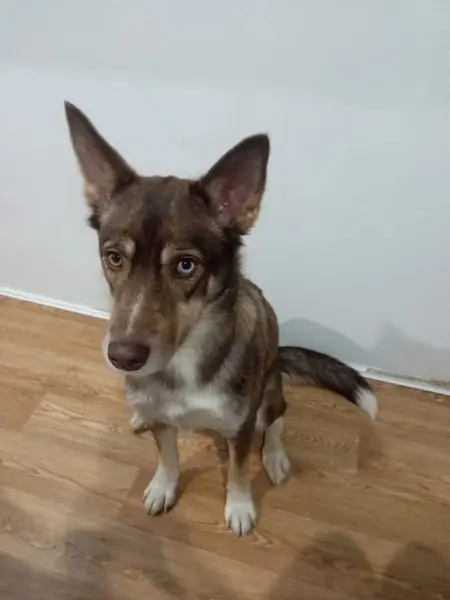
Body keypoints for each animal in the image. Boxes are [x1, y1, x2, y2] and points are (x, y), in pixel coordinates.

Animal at [64, 102, 378, 535]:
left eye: (185, 265)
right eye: (114, 257)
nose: (123, 357)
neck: (183, 362)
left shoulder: (241, 427)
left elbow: (240, 469)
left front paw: (240, 506)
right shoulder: (164, 418)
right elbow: (167, 454)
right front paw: (164, 485)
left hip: (269, 389)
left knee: (277, 418)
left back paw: (275, 456)